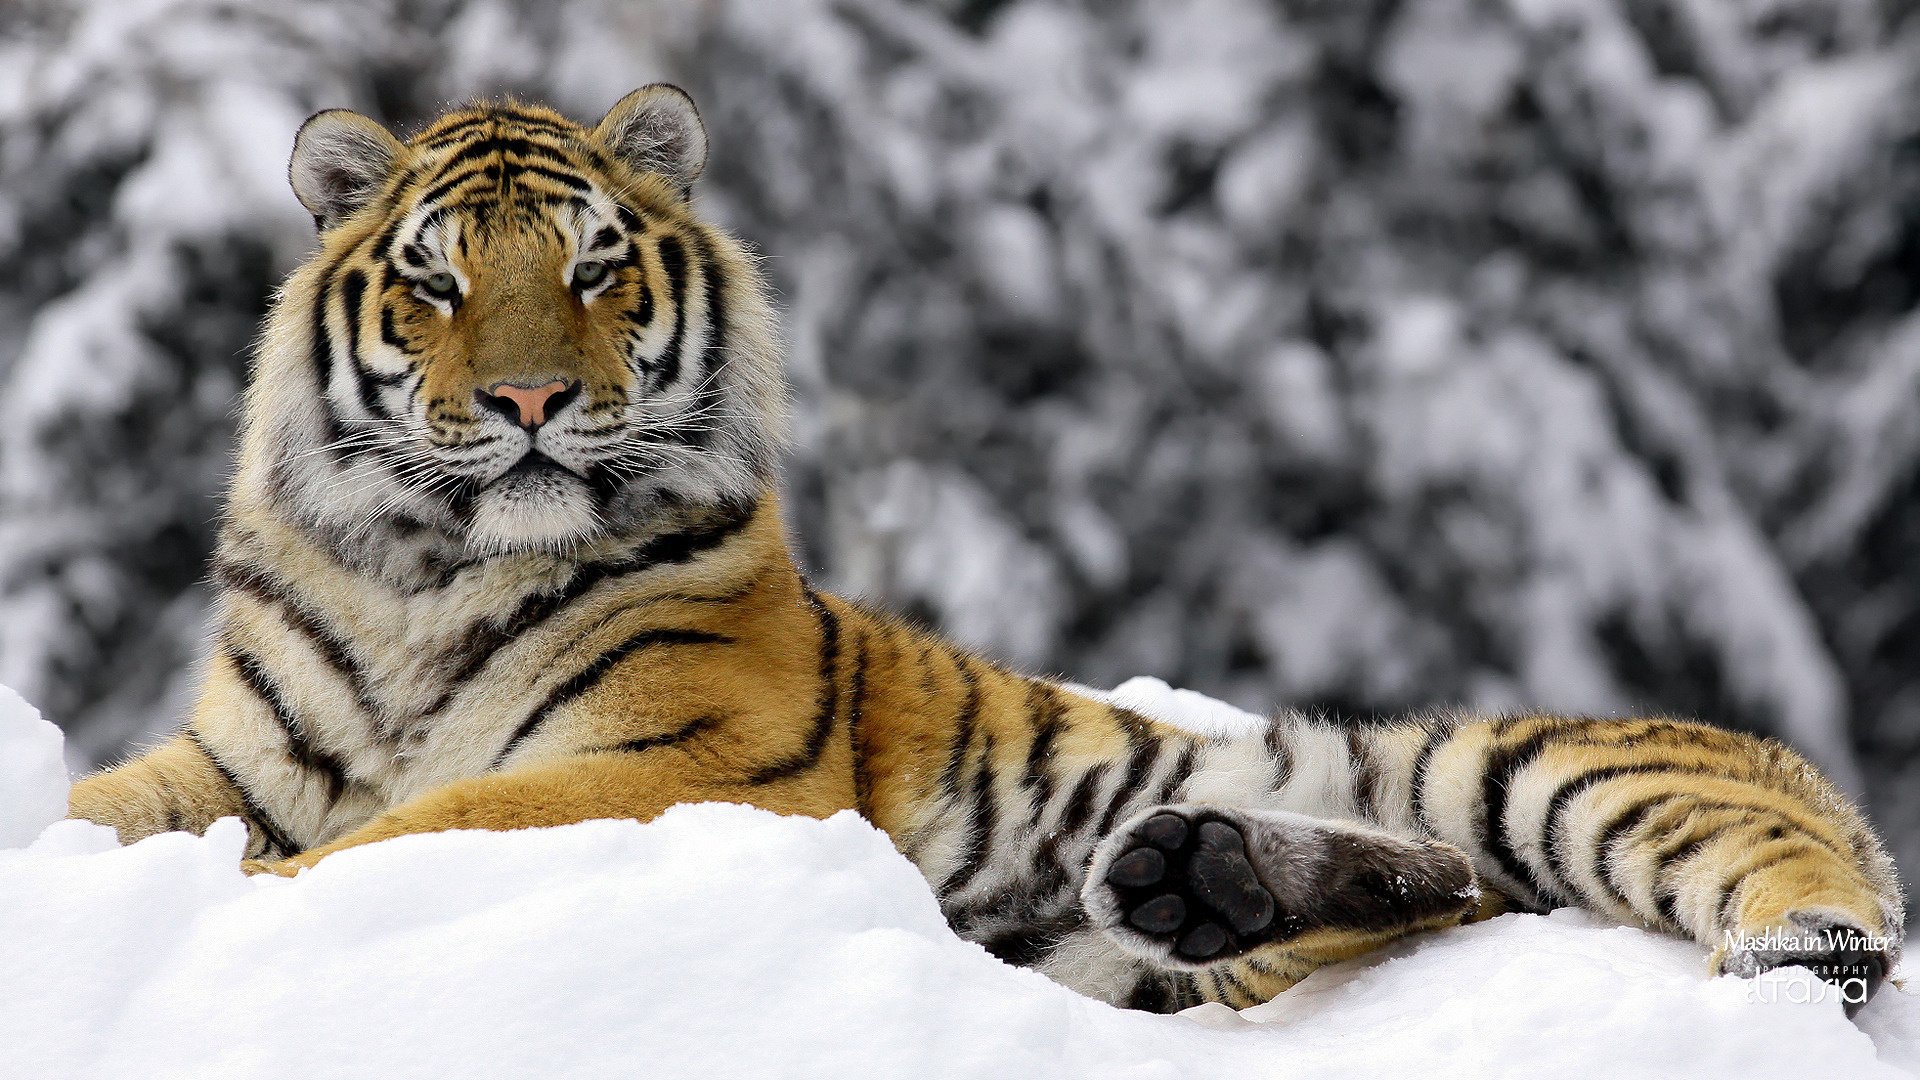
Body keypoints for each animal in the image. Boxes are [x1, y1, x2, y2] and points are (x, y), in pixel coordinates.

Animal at [63, 85, 1904, 1014]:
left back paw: (1801, 948)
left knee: (1749, 866)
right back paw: (1206, 881)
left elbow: (412, 834)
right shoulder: (239, 759)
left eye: (593, 268)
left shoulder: (680, 757)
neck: (423, 578)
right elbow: (108, 810)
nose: (526, 398)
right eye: (438, 281)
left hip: (1525, 769)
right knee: (1407, 899)